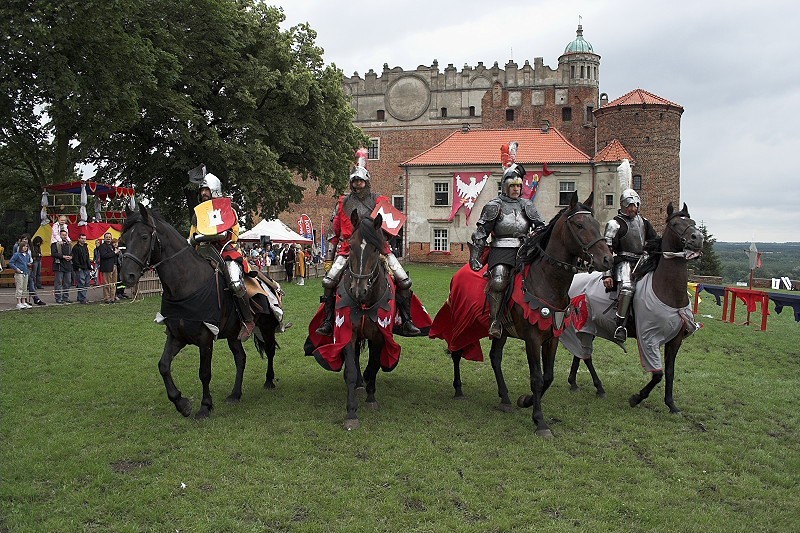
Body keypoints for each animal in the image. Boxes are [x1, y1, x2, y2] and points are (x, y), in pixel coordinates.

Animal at [119, 206, 282, 418]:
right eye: (124, 239)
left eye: (144, 236)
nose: (127, 276)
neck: (186, 284)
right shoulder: (176, 336)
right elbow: (163, 366)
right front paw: (181, 403)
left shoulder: (205, 337)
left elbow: (204, 373)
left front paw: (205, 406)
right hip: (234, 333)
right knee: (241, 358)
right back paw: (235, 394)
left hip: (266, 326)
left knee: (269, 350)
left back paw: (269, 380)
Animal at [560, 202, 704, 414]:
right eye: (676, 224)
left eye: (692, 221)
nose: (698, 238)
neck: (666, 291)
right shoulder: (648, 338)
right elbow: (657, 373)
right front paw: (637, 398)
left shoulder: (675, 341)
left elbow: (670, 372)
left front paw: (671, 404)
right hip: (584, 324)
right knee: (586, 355)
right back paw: (599, 387)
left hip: (587, 326)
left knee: (582, 352)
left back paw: (574, 382)